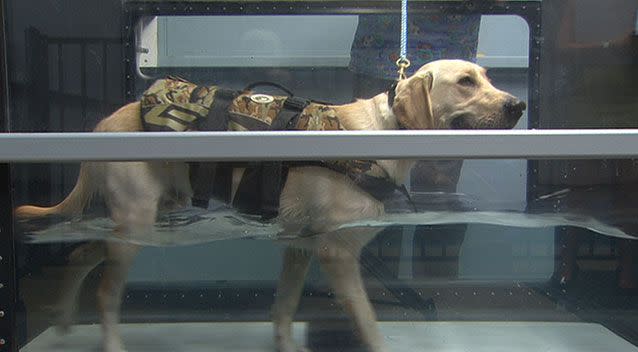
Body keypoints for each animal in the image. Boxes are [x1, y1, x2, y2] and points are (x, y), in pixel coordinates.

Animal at [15, 59, 524, 350]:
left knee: (80, 253)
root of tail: (102, 125)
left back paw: (62, 321)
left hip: (142, 222)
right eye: (465, 82)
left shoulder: (298, 248)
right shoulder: (336, 254)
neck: (384, 132)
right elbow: (368, 323)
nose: (519, 105)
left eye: (488, 77)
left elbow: (283, 310)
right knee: (104, 293)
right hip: (136, 226)